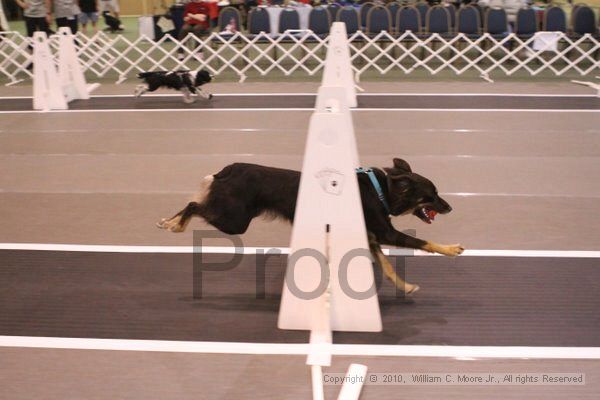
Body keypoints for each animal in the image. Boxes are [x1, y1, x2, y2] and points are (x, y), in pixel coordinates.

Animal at [156, 159, 464, 294]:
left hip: (232, 216)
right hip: (235, 221)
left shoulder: (370, 236)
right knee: (195, 205)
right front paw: (450, 249)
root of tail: (228, 170)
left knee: (196, 202)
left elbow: (387, 267)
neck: (380, 190)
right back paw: (176, 225)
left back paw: (168, 222)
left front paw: (404, 286)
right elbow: (423, 242)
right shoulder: (384, 232)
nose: (450, 207)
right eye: (431, 195)